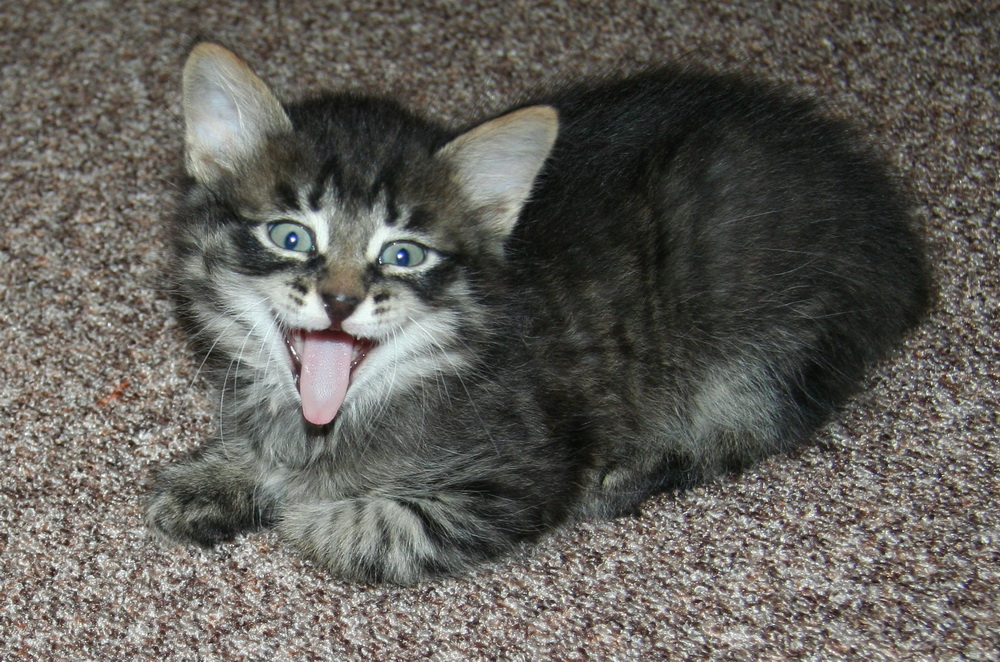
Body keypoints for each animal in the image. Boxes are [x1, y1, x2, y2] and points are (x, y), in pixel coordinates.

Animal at [145, 42, 930, 584]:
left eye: (403, 254)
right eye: (291, 237)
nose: (341, 299)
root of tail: (888, 231)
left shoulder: (521, 475)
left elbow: (367, 527)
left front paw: (298, 504)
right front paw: (217, 477)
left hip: (761, 338)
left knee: (749, 427)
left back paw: (634, 473)